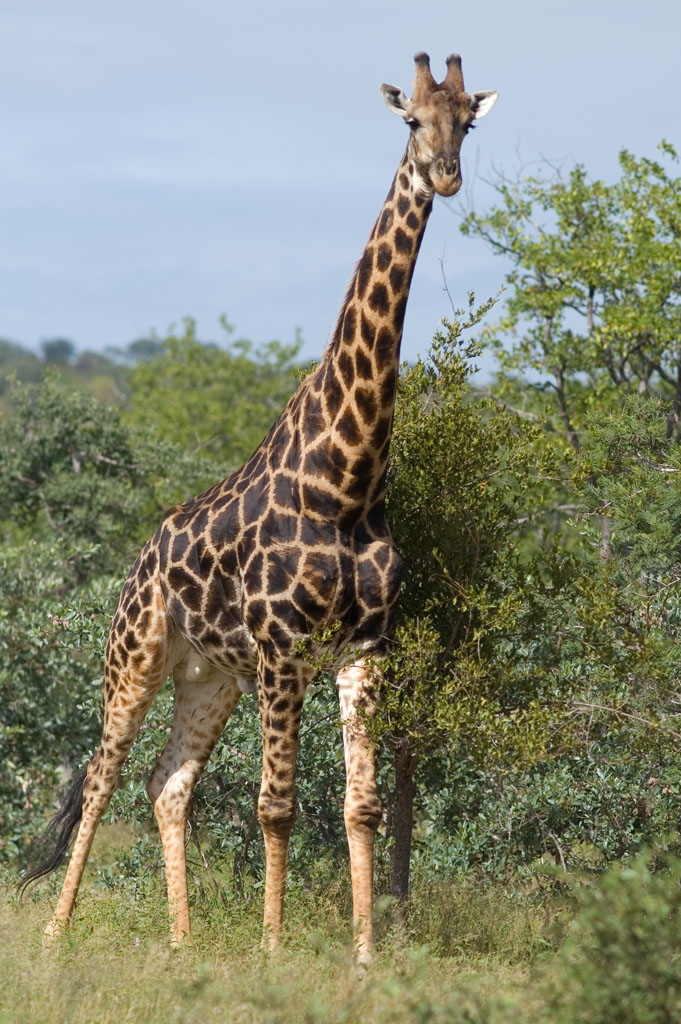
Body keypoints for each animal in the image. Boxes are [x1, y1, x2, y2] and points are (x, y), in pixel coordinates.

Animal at [22, 52, 497, 963]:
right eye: (410, 121)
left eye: (466, 121)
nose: (445, 175)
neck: (347, 478)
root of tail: (139, 560)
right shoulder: (283, 650)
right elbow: (276, 806)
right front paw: (274, 950)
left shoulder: (361, 648)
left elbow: (362, 806)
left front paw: (365, 955)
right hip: (136, 655)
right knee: (101, 775)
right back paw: (58, 931)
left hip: (210, 676)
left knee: (166, 783)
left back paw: (180, 940)